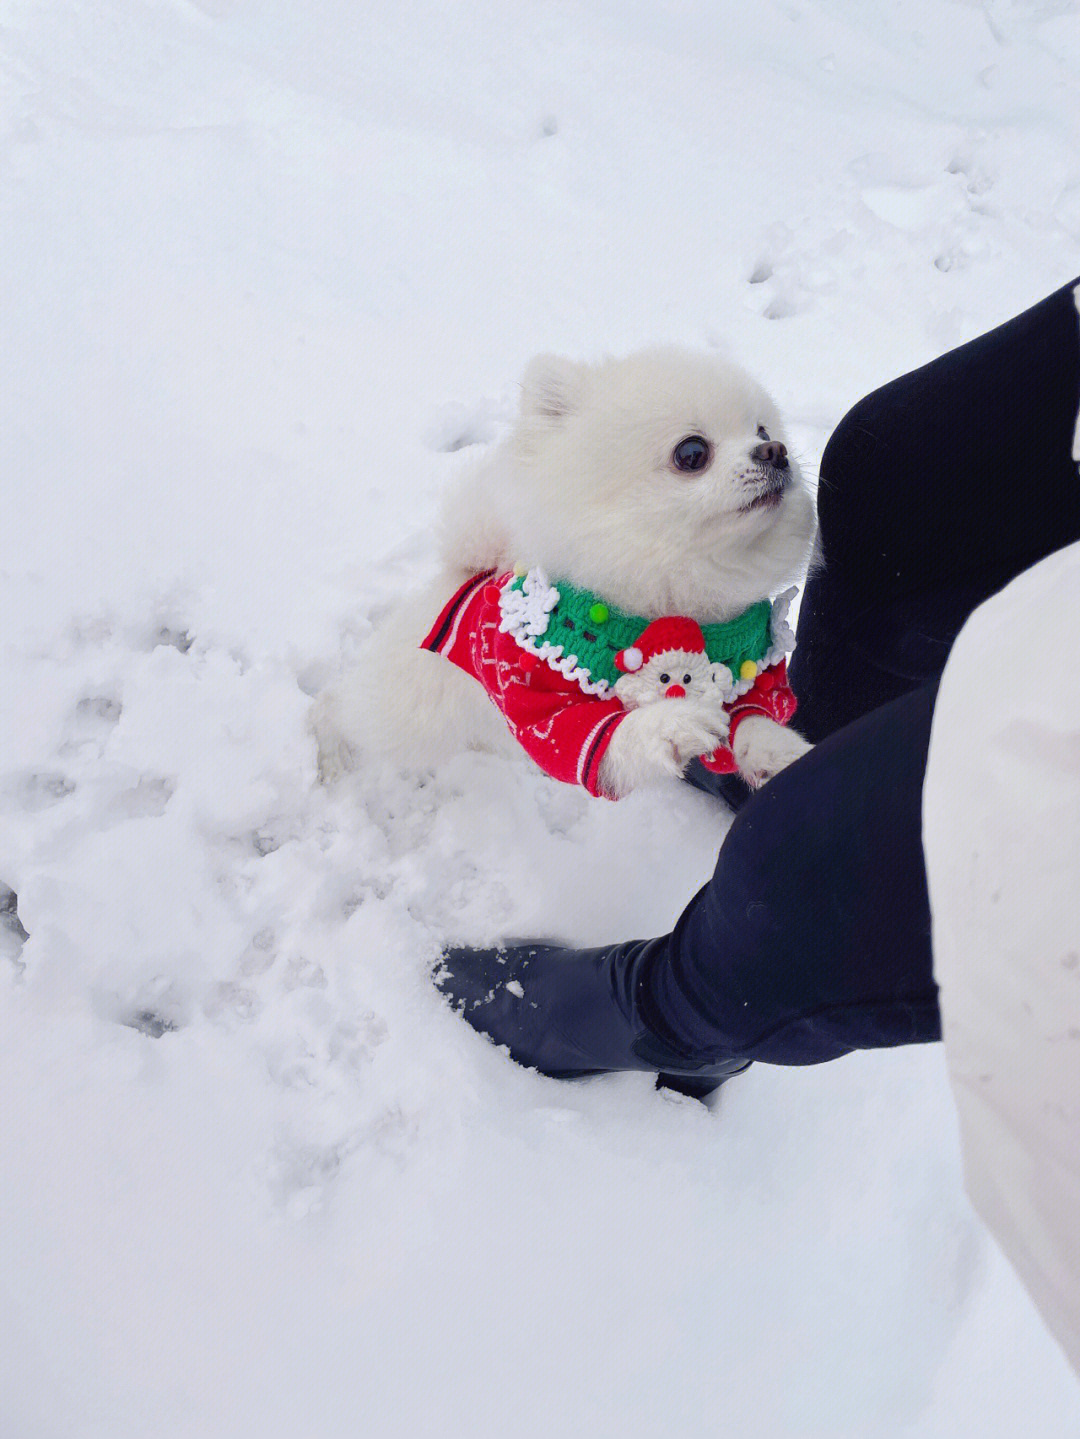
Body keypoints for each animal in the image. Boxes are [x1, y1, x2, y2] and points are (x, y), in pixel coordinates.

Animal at [312, 346, 816, 800]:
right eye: (692, 453)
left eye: (762, 429)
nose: (776, 451)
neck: (674, 599)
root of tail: (461, 575)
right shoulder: (542, 701)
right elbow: (607, 738)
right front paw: (671, 724)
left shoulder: (750, 672)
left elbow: (753, 716)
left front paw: (777, 753)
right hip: (410, 711)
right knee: (343, 708)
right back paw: (329, 751)